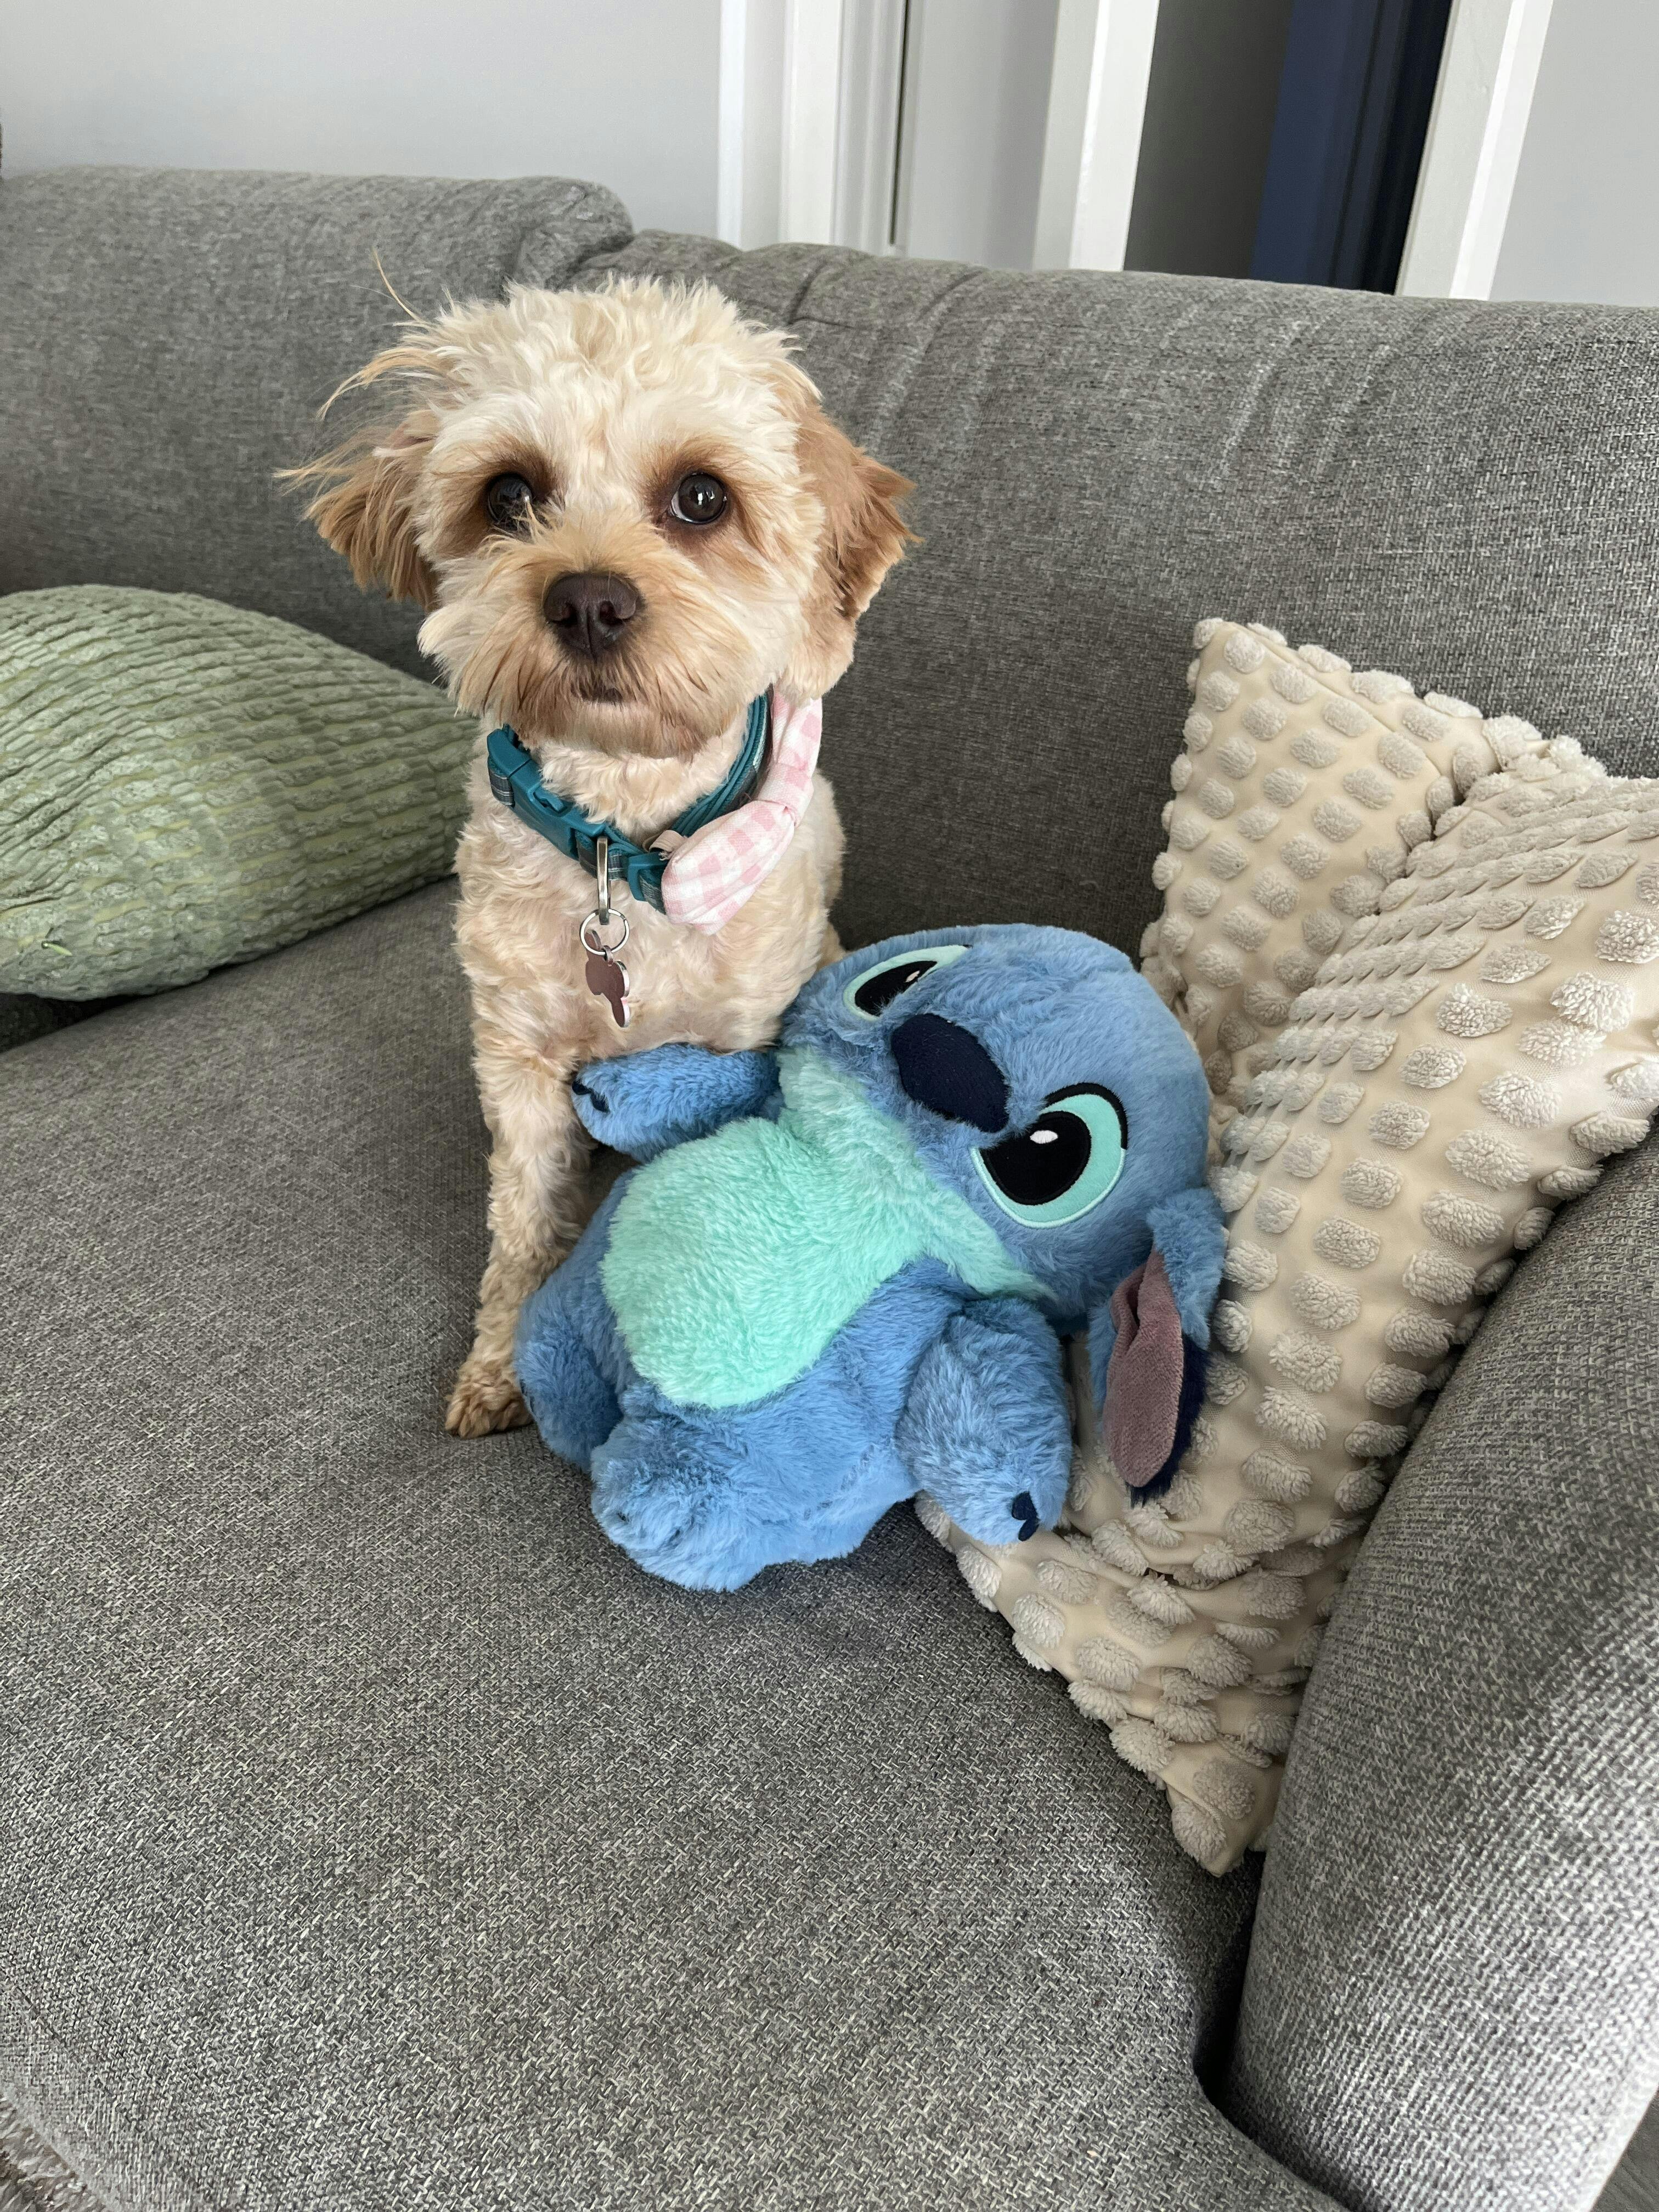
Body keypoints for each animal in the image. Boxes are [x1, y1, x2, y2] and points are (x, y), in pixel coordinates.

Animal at [292, 277, 912, 1435]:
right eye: (508, 495)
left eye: (702, 498)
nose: (586, 599)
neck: (621, 847)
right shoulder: (517, 1061)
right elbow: (521, 1218)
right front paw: (500, 1362)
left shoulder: (734, 1047)